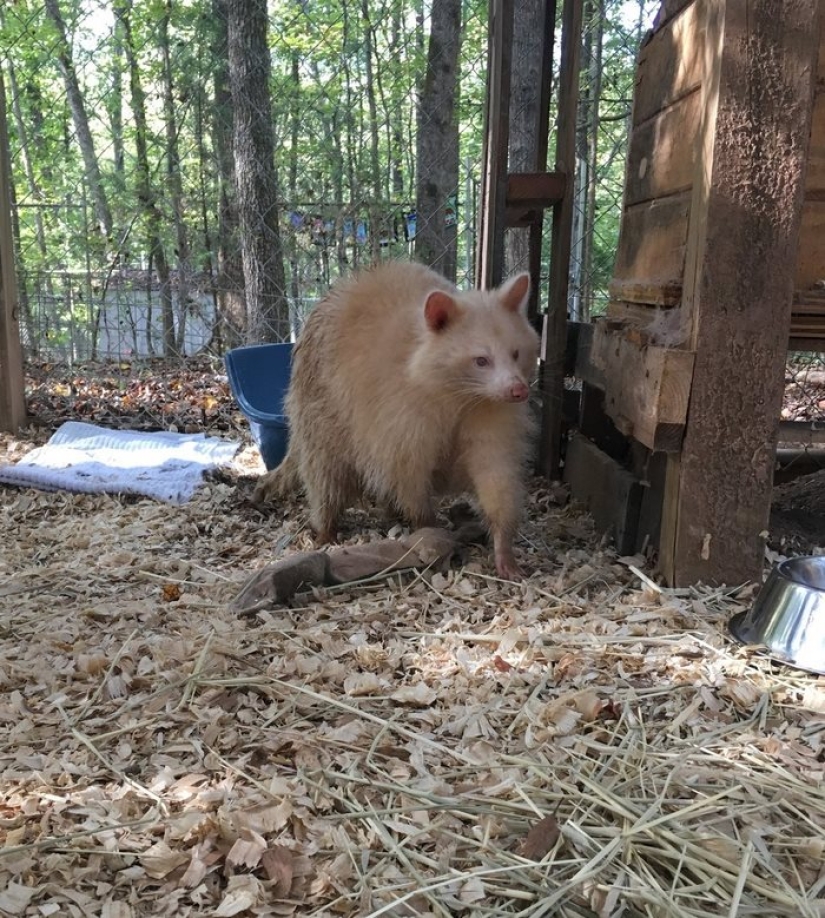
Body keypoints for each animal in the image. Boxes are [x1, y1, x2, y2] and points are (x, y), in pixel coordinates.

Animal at [258, 258, 540, 580]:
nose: (518, 390)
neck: (463, 395)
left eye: (516, 353)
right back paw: (326, 524)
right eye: (482, 360)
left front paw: (503, 540)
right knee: (325, 471)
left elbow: (494, 470)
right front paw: (426, 522)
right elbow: (406, 474)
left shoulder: (490, 411)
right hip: (318, 401)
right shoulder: (398, 414)